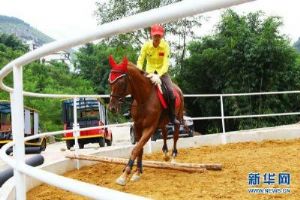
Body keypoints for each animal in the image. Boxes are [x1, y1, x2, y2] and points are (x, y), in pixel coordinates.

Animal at [106, 55, 184, 186]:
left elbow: (136, 149)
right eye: (109, 81)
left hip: (177, 118)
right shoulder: (138, 126)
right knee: (164, 132)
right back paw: (165, 154)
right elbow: (140, 149)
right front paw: (137, 172)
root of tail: (177, 88)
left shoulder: (149, 128)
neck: (145, 98)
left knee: (175, 135)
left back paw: (173, 157)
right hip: (162, 122)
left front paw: (125, 174)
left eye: (121, 83)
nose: (112, 108)